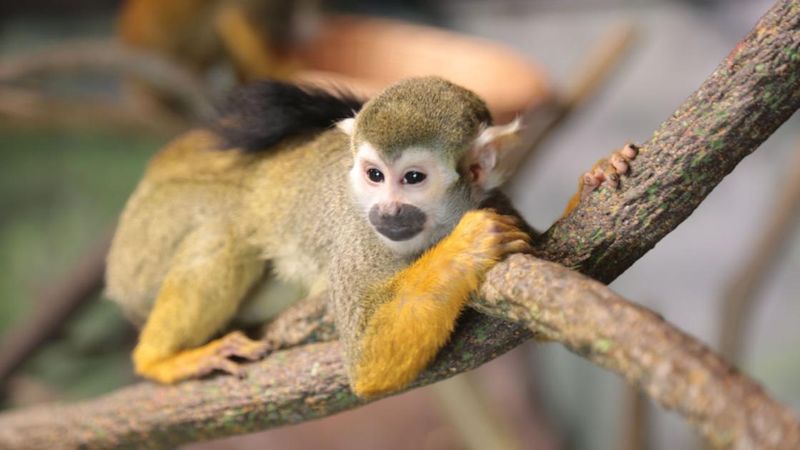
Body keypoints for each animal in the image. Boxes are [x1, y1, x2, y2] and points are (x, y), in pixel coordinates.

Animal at [105, 76, 637, 398]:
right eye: (374, 176)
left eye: (413, 179)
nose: (387, 211)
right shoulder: (360, 239)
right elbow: (367, 365)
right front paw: (464, 249)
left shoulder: (494, 200)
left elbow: (547, 319)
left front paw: (596, 177)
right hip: (149, 239)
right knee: (223, 232)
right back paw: (160, 360)